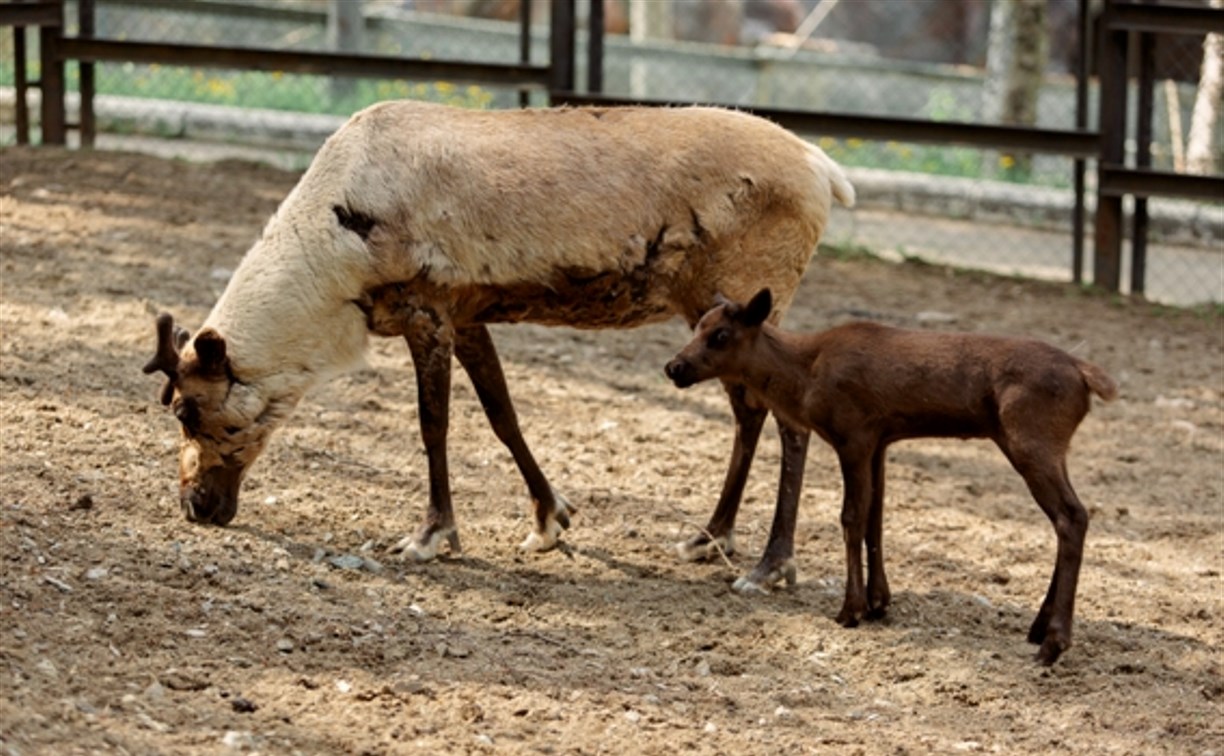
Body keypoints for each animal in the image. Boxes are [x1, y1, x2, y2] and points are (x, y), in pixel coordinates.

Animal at [670, 285, 1121, 660]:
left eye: (720, 335)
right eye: (698, 325)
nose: (674, 367)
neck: (805, 380)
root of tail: (1088, 377)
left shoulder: (853, 433)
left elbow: (851, 517)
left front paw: (850, 609)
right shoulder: (881, 441)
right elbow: (876, 518)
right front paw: (879, 602)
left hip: (1031, 439)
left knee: (1071, 516)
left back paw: (1053, 641)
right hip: (1052, 447)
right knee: (1070, 517)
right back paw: (1039, 626)